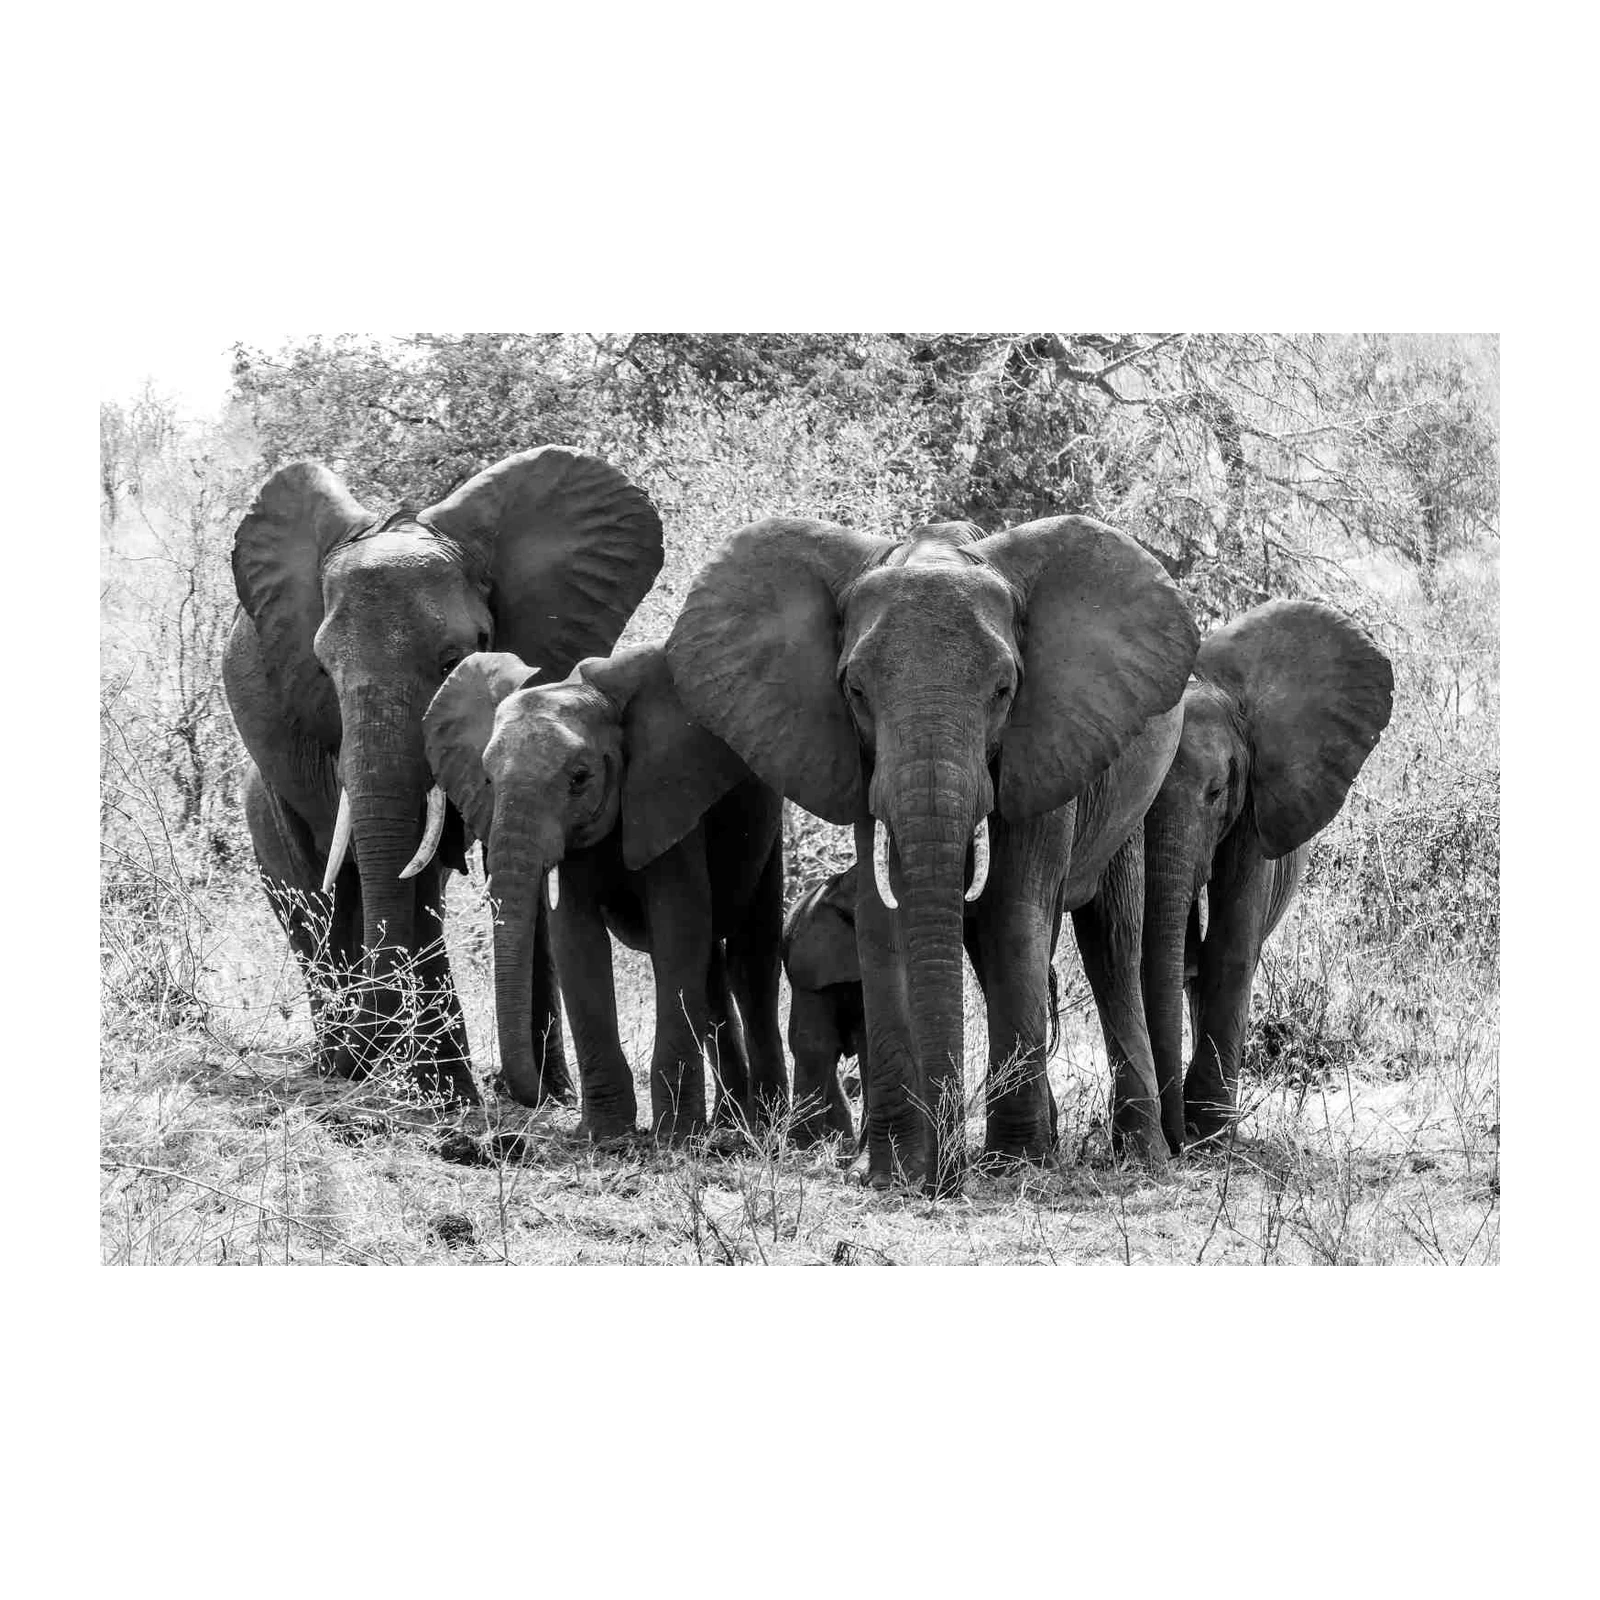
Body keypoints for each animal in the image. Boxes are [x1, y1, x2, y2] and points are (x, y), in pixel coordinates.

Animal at [222, 446, 662, 1105]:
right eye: (322, 670)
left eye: (453, 661)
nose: (370, 1049)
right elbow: (409, 869)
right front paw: (449, 1096)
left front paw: (531, 1094)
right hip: (265, 805)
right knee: (312, 898)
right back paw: (344, 1065)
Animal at [420, 645, 786, 1141]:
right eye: (489, 781)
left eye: (579, 778)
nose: (540, 1094)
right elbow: (576, 940)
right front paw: (607, 1134)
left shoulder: (666, 795)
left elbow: (677, 930)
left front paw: (674, 1138)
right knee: (711, 972)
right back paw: (729, 1122)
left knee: (753, 961)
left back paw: (767, 1126)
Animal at [668, 516, 1198, 1191]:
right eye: (855, 690)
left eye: (1004, 690)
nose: (944, 1180)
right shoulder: (859, 759)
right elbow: (885, 921)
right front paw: (892, 1173)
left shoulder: (1046, 741)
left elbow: (1012, 914)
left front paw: (1015, 1166)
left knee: (1110, 938)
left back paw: (1141, 1157)